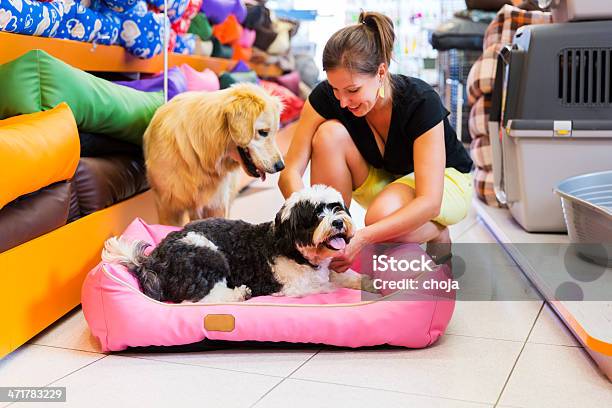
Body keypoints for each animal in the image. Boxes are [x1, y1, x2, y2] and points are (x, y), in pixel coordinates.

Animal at [103, 185, 376, 302]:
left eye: (336, 207)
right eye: (316, 215)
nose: (338, 222)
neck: (294, 250)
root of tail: (152, 261)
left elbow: (344, 276)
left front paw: (369, 282)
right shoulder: (294, 287)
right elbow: (326, 286)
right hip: (207, 253)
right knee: (198, 298)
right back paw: (238, 294)